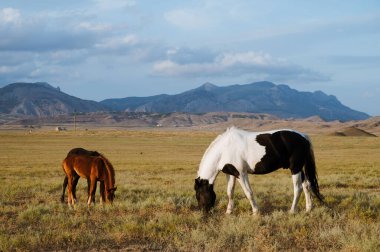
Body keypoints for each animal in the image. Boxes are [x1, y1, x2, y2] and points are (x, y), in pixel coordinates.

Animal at [196, 127, 324, 214]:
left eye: (198, 195)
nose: (204, 213)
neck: (224, 149)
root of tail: (304, 137)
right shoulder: (231, 174)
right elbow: (230, 192)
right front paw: (229, 211)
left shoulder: (241, 174)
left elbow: (248, 192)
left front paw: (256, 212)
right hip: (299, 168)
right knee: (307, 185)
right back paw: (308, 209)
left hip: (295, 168)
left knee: (298, 188)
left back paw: (292, 211)